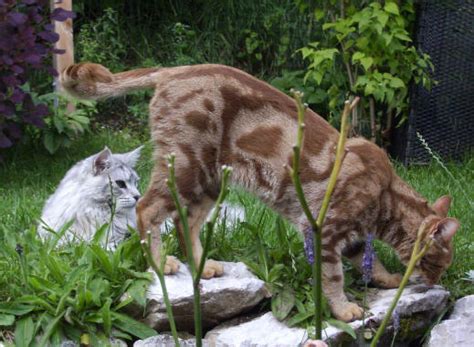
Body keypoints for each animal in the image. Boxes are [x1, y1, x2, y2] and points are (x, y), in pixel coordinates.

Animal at [60, 63, 460, 324]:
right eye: (438, 262)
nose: (436, 281)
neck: (386, 195)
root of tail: (173, 69)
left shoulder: (352, 236)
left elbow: (369, 261)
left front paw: (388, 279)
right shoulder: (325, 230)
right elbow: (333, 277)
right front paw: (344, 308)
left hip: (209, 181)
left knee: (186, 221)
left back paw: (202, 266)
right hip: (188, 167)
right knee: (146, 208)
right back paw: (160, 262)